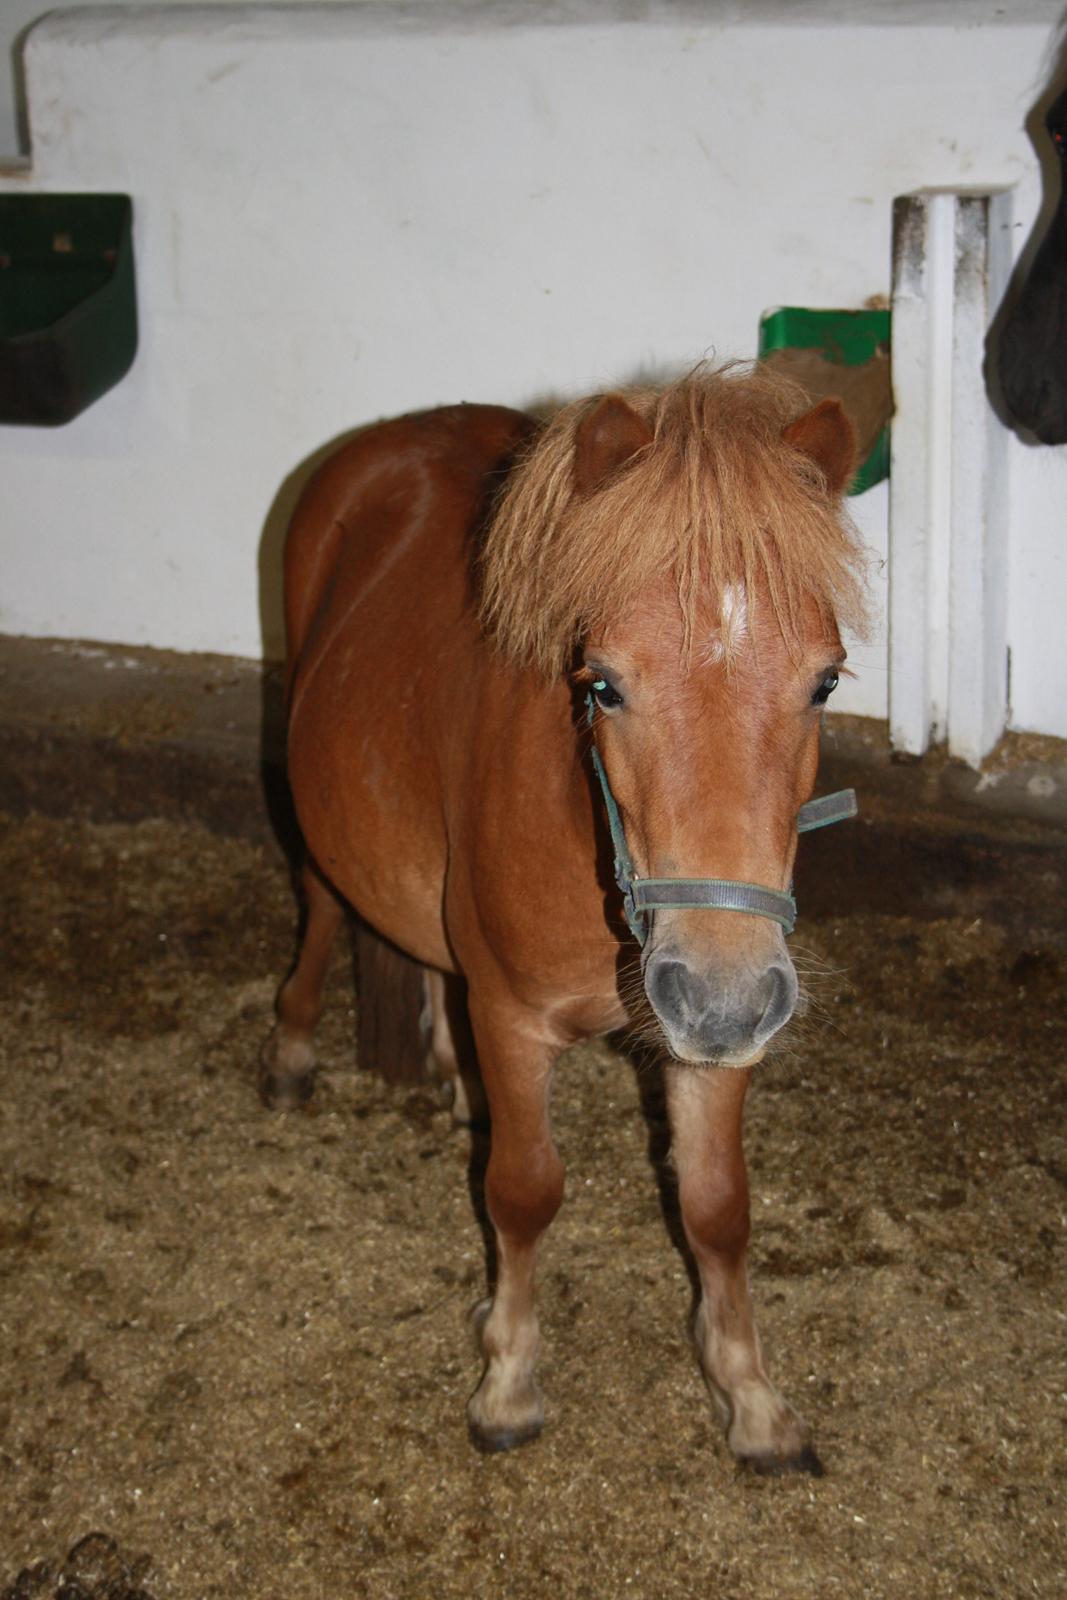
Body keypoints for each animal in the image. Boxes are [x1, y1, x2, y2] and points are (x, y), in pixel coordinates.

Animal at [262, 363, 863, 1472]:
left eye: (823, 680)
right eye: (603, 683)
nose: (719, 993)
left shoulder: (708, 1047)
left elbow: (715, 1209)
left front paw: (750, 1399)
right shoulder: (515, 1021)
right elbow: (525, 1191)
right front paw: (506, 1379)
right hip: (319, 818)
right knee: (321, 906)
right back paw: (288, 1050)